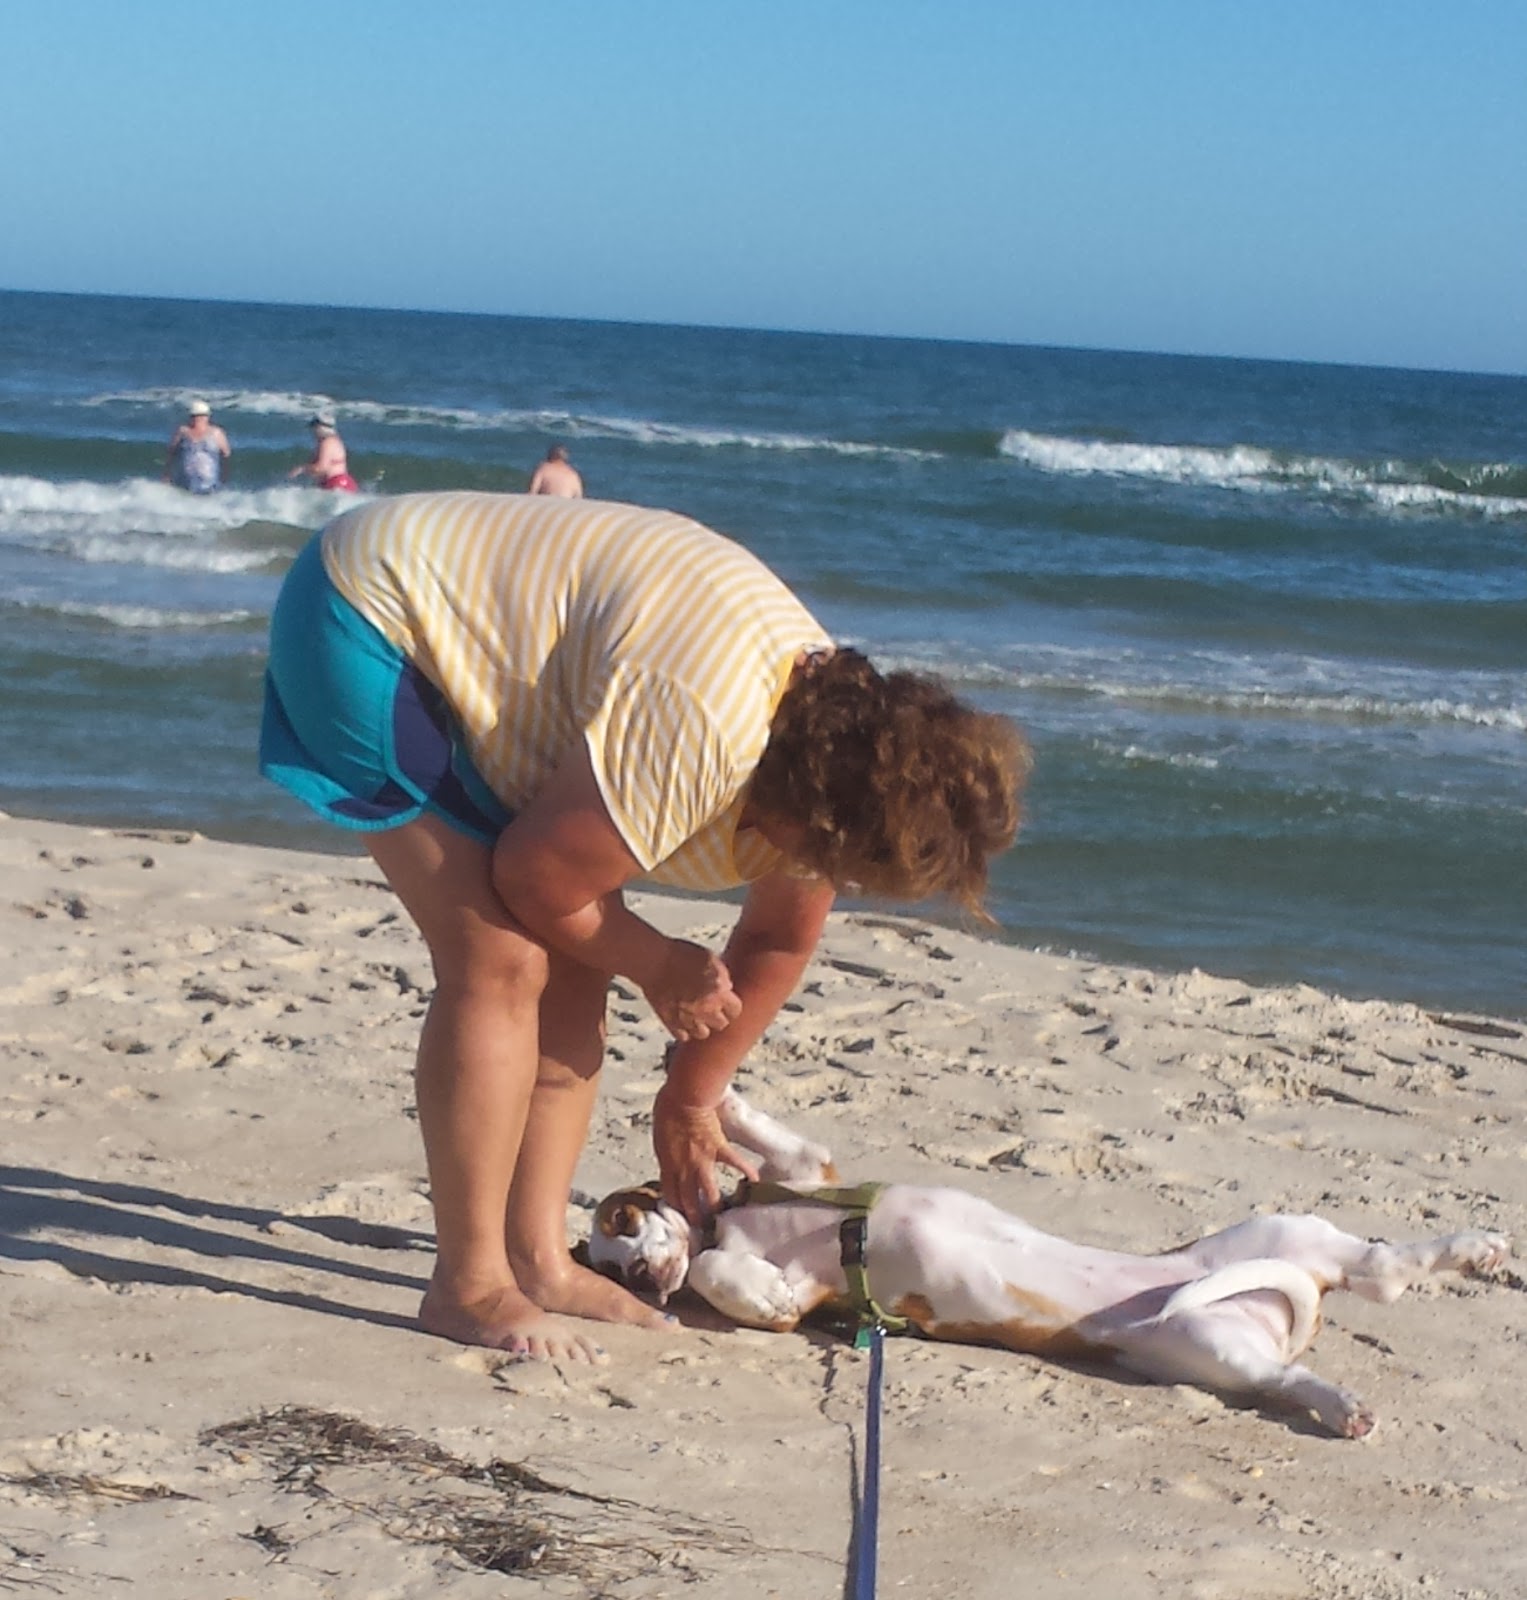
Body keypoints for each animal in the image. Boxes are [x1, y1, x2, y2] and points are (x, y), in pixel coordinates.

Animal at [589, 1089, 1509, 1437]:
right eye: (606, 1268)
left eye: (621, 1219)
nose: (637, 1273)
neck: (727, 1224)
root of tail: (1287, 1315)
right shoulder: (798, 1294)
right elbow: (730, 1280)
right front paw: (743, 1281)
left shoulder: (810, 1169)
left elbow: (770, 1134)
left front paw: (713, 1099)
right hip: (1214, 1348)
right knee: (1304, 1359)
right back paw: (1345, 1403)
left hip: (1280, 1235)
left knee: (1378, 1265)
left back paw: (1472, 1249)